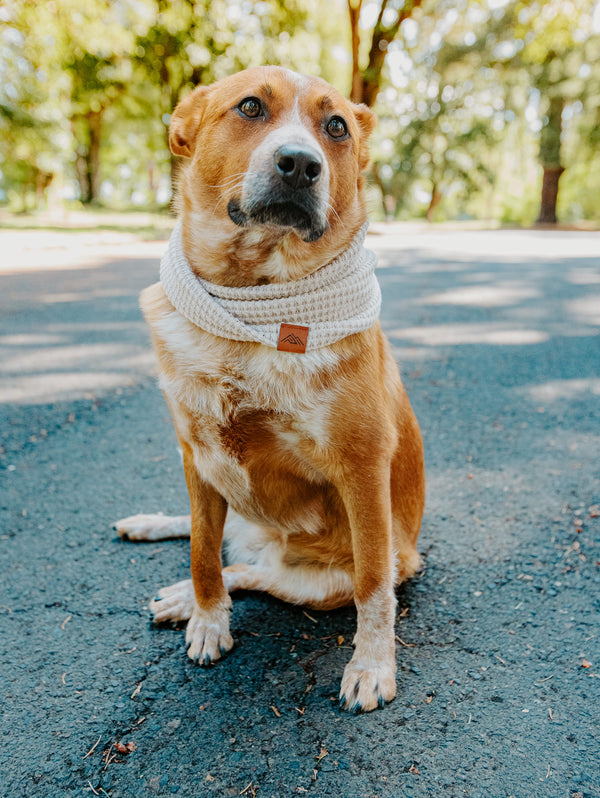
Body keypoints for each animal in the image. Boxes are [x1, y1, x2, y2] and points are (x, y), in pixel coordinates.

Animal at [117, 64, 424, 712]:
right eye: (251, 107)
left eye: (336, 126)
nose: (301, 164)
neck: (255, 301)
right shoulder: (196, 453)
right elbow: (202, 552)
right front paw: (208, 618)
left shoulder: (362, 466)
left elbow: (374, 585)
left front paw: (372, 665)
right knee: (215, 542)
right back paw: (169, 559)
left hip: (315, 581)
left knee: (258, 573)